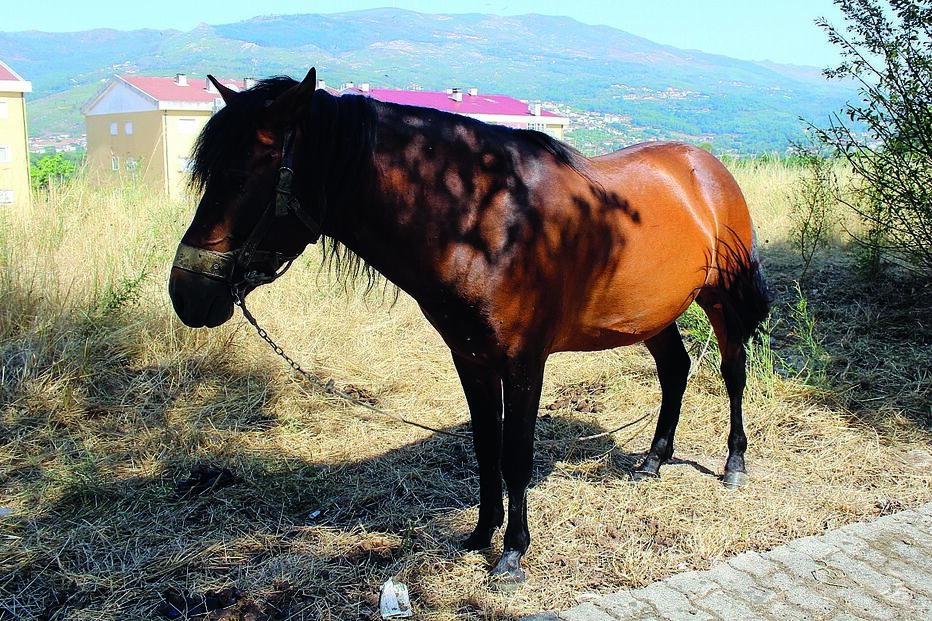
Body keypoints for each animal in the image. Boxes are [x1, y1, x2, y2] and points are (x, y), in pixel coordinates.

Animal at [168, 68, 771, 584]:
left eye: (239, 177)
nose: (186, 295)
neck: (487, 222)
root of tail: (706, 168)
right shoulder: (471, 357)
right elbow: (485, 447)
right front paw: (481, 534)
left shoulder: (525, 363)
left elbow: (516, 454)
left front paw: (513, 555)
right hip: (651, 313)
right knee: (675, 369)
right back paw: (653, 459)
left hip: (719, 298)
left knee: (732, 370)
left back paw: (734, 463)